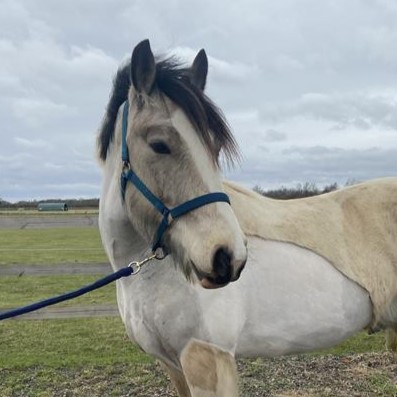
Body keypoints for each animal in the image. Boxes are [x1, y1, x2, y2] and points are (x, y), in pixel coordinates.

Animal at [96, 38, 396, 394]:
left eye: (214, 147)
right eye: (159, 144)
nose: (227, 257)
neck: (148, 278)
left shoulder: (208, 359)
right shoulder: (172, 366)